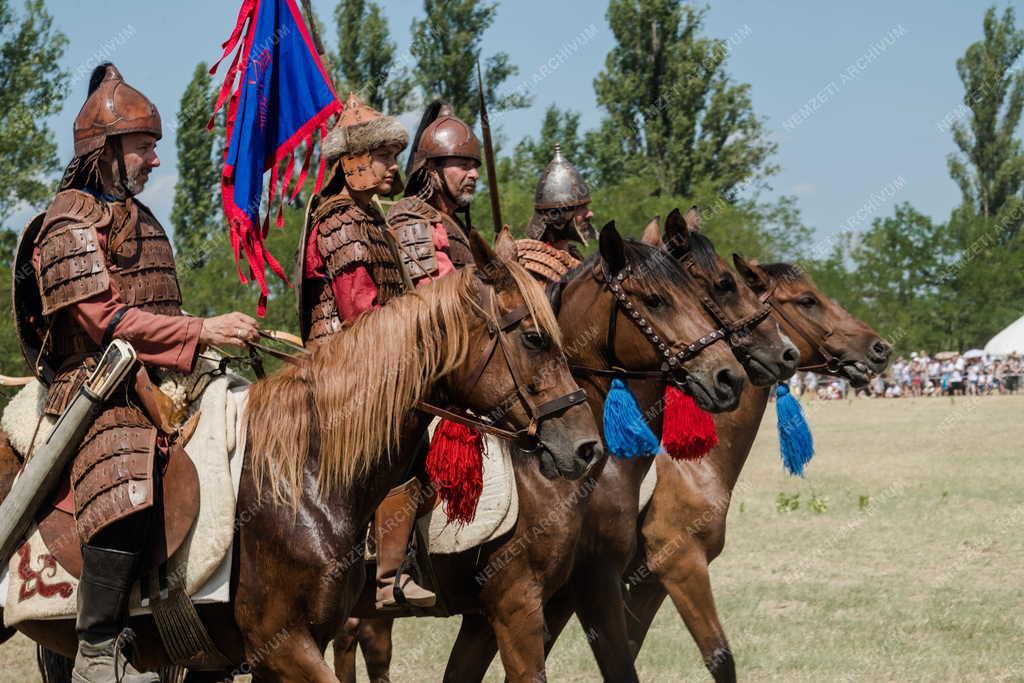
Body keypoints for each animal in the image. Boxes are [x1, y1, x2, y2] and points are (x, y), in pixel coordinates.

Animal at [614, 258, 897, 683]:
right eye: (808, 300)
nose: (880, 348)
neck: (691, 467)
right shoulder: (680, 566)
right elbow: (720, 658)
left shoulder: (649, 582)